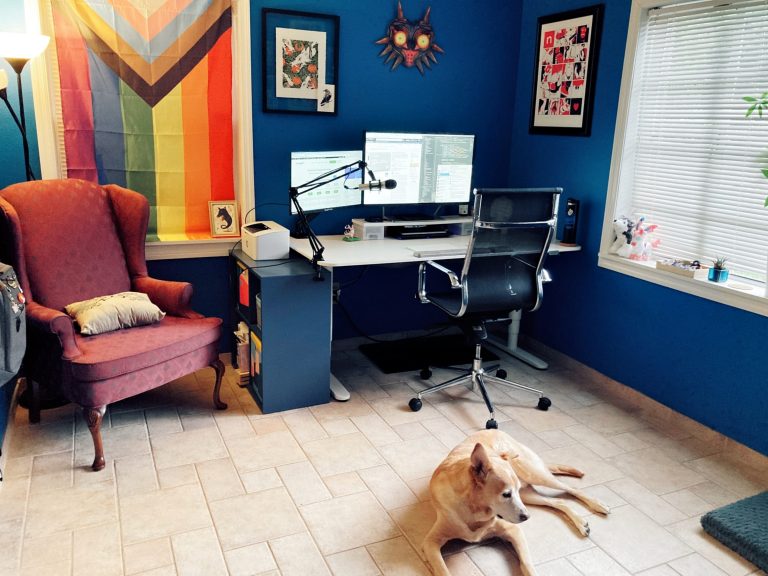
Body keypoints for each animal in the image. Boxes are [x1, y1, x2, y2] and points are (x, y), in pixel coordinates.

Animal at [424, 430, 608, 572]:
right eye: (506, 494)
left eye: (514, 491)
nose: (527, 517)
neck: (474, 509)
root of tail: (496, 430)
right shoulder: (430, 543)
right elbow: (442, 570)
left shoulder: (513, 530)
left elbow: (526, 564)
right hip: (527, 496)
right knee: (559, 503)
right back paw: (581, 522)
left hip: (534, 477)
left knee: (571, 489)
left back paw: (597, 505)